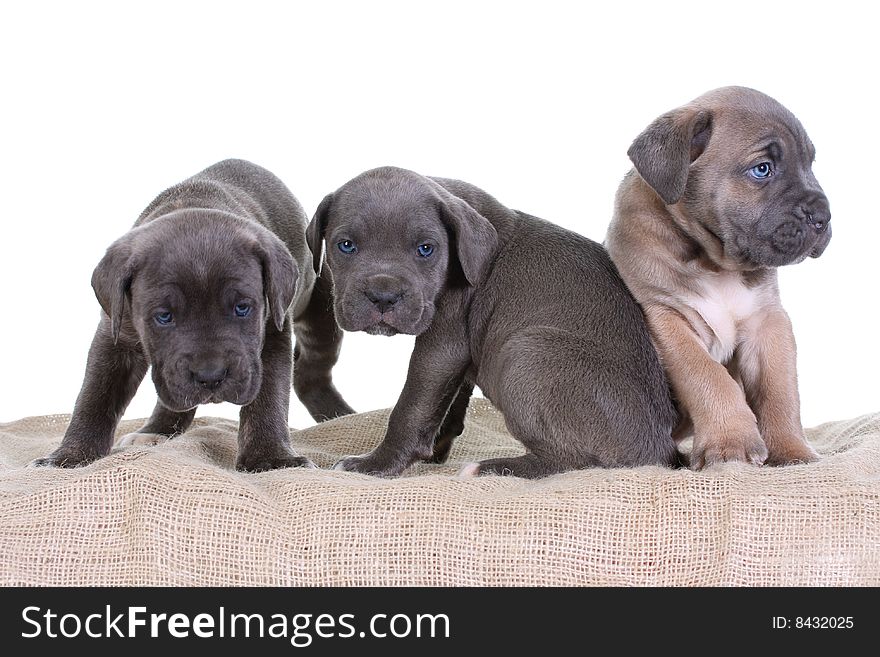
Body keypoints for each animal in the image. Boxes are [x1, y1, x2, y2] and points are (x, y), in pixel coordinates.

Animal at [35, 160, 350, 472]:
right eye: (164, 316)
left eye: (242, 308)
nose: (210, 377)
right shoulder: (116, 336)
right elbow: (95, 396)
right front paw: (69, 456)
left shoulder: (272, 332)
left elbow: (268, 396)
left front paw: (270, 459)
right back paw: (157, 430)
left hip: (324, 310)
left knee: (310, 371)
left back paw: (340, 415)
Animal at [310, 167, 680, 480]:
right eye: (346, 245)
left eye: (426, 249)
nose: (383, 295)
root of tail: (659, 453)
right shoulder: (459, 358)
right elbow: (447, 402)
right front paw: (436, 446)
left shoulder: (442, 344)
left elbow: (411, 406)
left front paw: (375, 465)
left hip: (527, 353)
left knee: (572, 462)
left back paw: (491, 469)